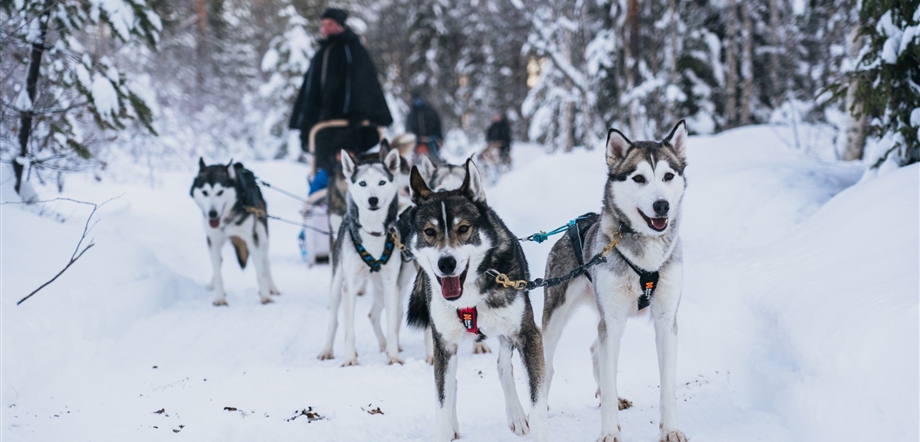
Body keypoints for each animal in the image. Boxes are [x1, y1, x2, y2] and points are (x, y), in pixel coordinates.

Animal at [190, 160, 280, 308]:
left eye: (220, 192)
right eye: (205, 192)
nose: (212, 213)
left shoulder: (251, 239)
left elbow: (260, 272)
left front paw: (265, 296)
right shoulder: (213, 241)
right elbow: (218, 272)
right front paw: (219, 297)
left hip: (262, 236)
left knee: (265, 261)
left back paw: (272, 288)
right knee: (219, 261)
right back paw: (211, 285)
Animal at [320, 142, 406, 366]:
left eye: (382, 182)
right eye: (363, 183)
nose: (373, 199)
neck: (373, 233)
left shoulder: (391, 285)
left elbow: (392, 325)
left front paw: (393, 356)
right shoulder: (349, 285)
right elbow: (349, 330)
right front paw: (350, 359)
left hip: (380, 288)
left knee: (374, 314)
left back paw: (384, 345)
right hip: (337, 284)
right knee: (334, 319)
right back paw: (327, 349)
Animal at [408, 160, 548, 442]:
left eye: (464, 228)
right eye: (429, 232)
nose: (446, 263)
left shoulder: (527, 335)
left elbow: (537, 401)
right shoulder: (444, 345)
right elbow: (442, 401)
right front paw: (445, 428)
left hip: (507, 333)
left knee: (503, 367)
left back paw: (516, 415)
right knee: (452, 384)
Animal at [544, 121, 688, 442]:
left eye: (668, 176)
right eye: (639, 178)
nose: (662, 205)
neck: (646, 259)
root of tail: (575, 224)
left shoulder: (666, 320)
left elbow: (667, 385)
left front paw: (671, 428)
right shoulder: (610, 321)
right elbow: (608, 383)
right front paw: (609, 432)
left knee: (595, 350)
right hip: (556, 319)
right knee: (545, 366)